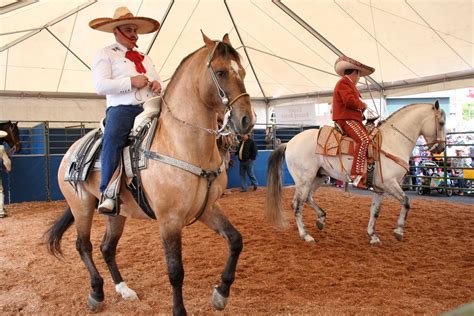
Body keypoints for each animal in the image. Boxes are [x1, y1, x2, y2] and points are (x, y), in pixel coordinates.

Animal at [45, 33, 256, 314]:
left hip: (116, 212)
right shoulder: (169, 220)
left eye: (242, 71)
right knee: (84, 246)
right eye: (221, 72)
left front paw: (221, 293)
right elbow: (176, 271)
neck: (182, 145)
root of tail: (70, 152)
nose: (247, 120)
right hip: (81, 206)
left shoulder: (208, 208)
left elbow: (235, 240)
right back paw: (96, 293)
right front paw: (179, 309)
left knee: (107, 247)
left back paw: (124, 289)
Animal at [266, 101, 444, 244]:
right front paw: (399, 231)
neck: (392, 141)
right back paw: (305, 235)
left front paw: (373, 235)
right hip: (305, 180)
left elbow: (375, 211)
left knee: (306, 198)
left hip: (319, 177)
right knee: (298, 205)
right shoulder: (390, 183)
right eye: (441, 122)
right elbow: (406, 202)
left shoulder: (379, 188)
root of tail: (289, 143)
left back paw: (321, 219)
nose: (441, 148)